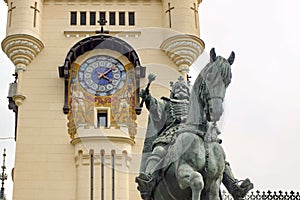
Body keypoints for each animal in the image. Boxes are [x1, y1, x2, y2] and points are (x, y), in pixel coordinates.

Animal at [137, 47, 236, 199]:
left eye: (228, 80)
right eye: (209, 76)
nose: (216, 111)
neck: (202, 134)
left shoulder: (214, 182)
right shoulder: (183, 171)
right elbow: (197, 180)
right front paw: (146, 95)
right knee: (158, 152)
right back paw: (145, 181)